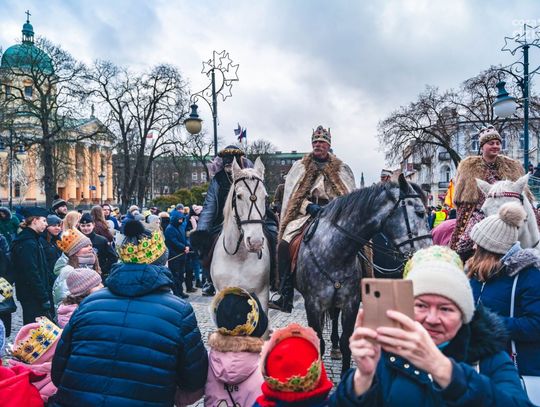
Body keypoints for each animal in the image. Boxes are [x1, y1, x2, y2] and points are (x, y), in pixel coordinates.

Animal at [296, 174, 432, 376]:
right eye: (421, 212)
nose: (429, 252)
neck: (335, 252)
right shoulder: (312, 304)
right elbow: (318, 343)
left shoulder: (351, 303)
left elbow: (347, 342)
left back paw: (334, 346)